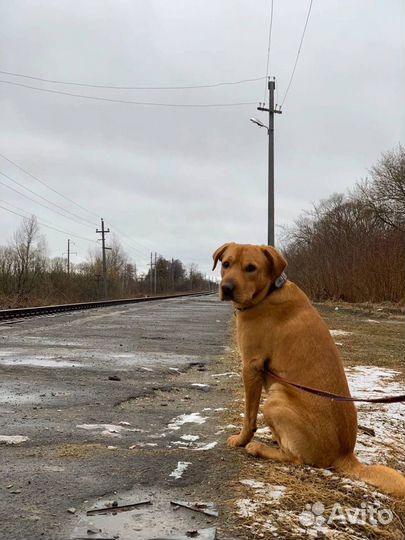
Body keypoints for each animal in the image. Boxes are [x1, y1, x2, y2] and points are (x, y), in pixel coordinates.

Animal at [211, 244, 404, 498]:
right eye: (226, 264)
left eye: (251, 268)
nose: (227, 288)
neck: (269, 292)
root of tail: (345, 455)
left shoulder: (251, 367)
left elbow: (248, 415)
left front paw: (242, 439)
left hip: (275, 401)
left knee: (296, 459)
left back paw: (258, 447)